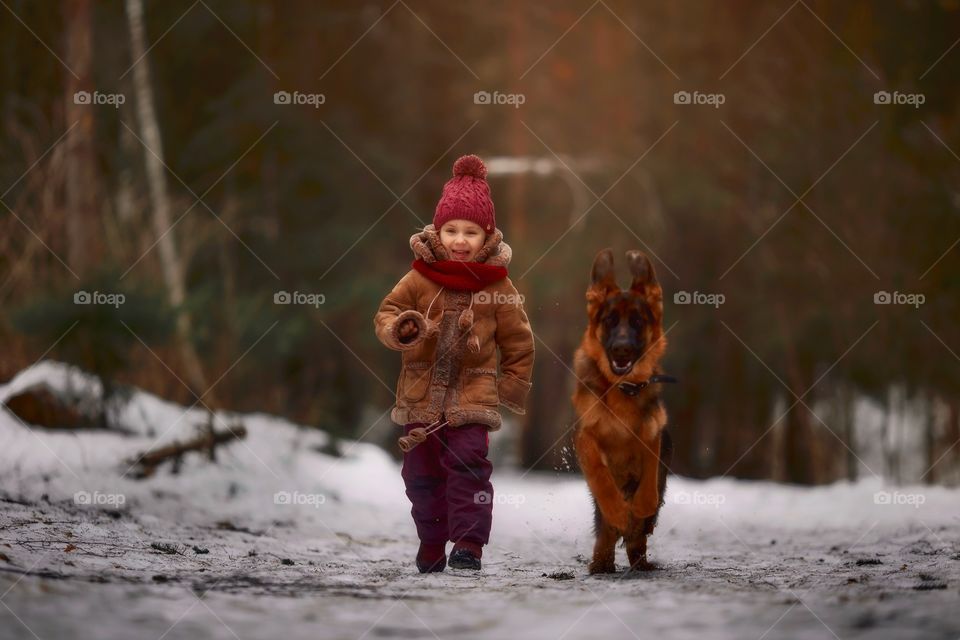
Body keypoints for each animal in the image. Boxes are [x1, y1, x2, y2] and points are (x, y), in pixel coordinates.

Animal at [568, 248, 676, 572]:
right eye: (610, 321)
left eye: (638, 321)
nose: (622, 349)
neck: (621, 389)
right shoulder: (585, 438)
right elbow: (600, 475)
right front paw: (617, 511)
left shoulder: (652, 432)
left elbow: (649, 475)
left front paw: (639, 506)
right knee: (606, 533)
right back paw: (601, 561)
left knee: (639, 534)